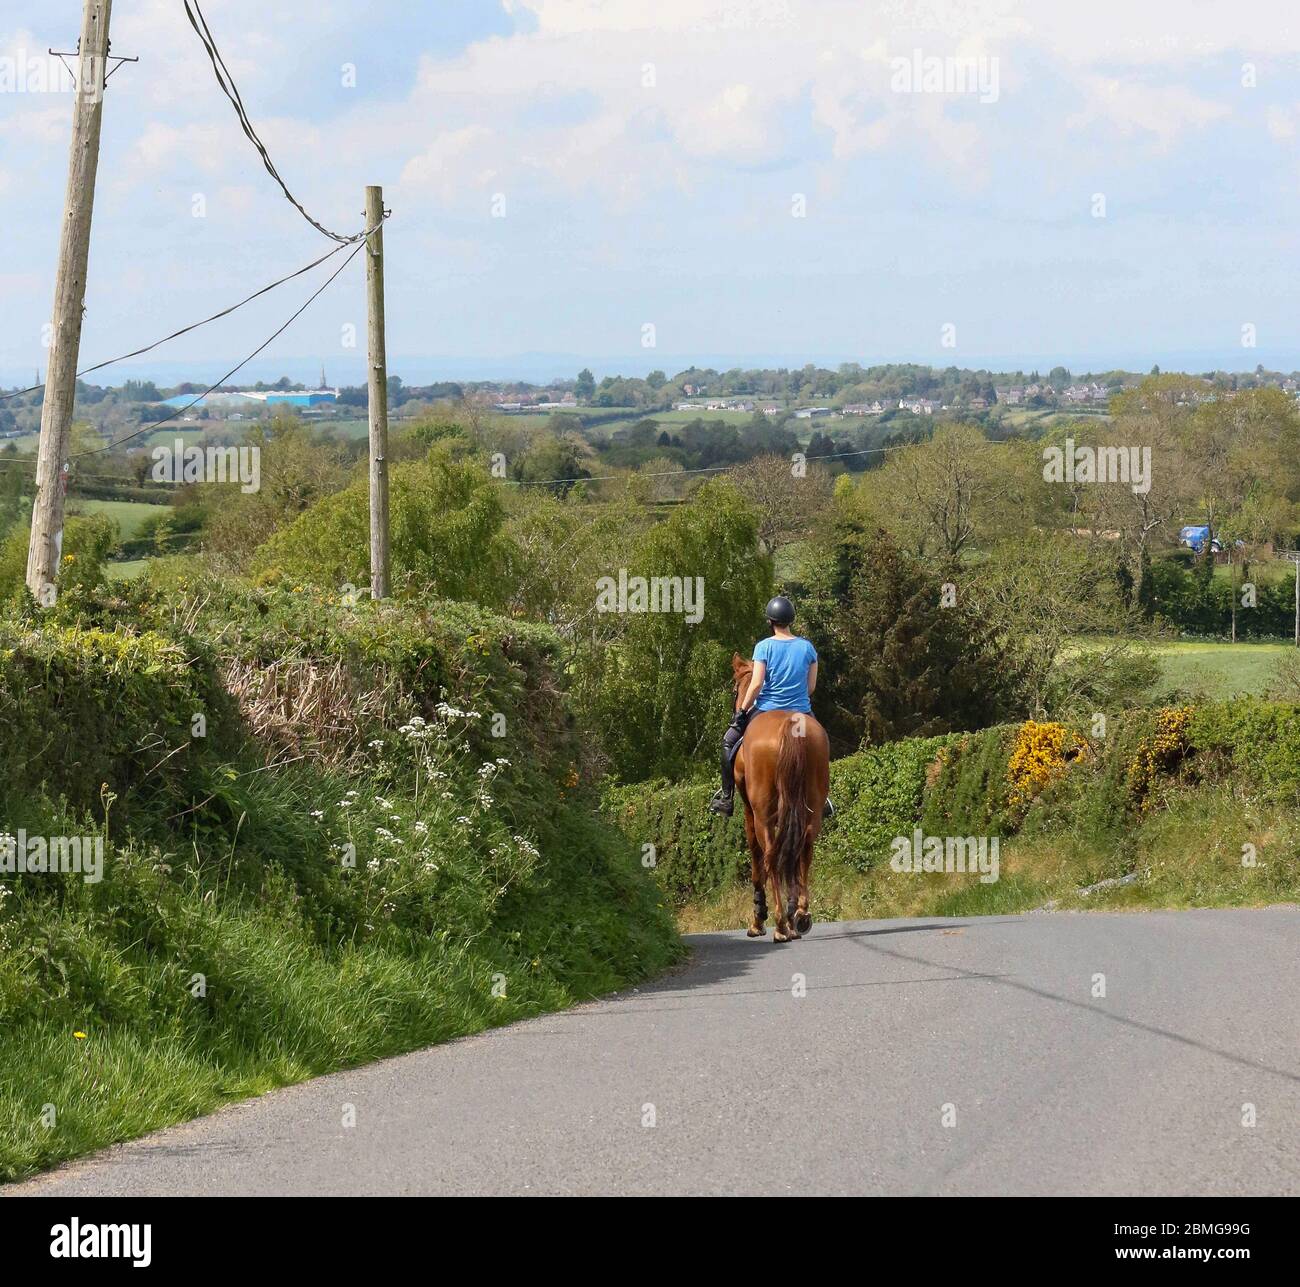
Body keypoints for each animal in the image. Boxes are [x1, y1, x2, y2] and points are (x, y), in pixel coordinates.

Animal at [733, 660, 832, 941]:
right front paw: (792, 911)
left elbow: (756, 861)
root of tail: (790, 723)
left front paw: (759, 919)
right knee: (803, 848)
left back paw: (779, 924)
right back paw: (800, 914)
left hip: (763, 815)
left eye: (735, 689)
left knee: (770, 855)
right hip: (812, 806)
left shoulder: (749, 812)